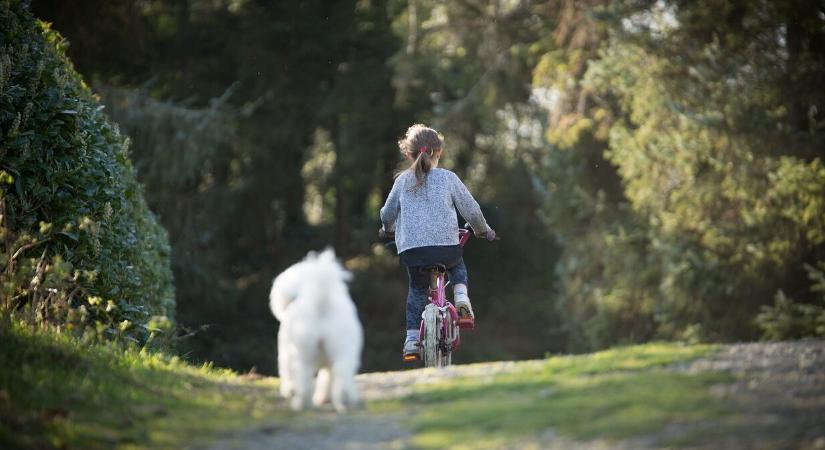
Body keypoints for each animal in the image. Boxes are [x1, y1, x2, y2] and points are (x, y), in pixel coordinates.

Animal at [268, 248, 362, 414]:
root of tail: (320, 304)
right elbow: (327, 378)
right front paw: (323, 398)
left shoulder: (285, 353)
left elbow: (286, 372)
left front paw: (289, 390)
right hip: (341, 350)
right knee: (341, 376)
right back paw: (344, 402)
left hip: (303, 353)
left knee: (303, 381)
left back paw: (299, 403)